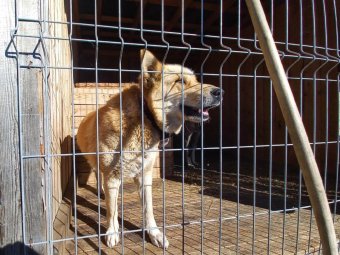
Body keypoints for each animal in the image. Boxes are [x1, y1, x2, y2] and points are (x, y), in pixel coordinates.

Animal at [76, 50, 223, 249]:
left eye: (196, 80)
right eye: (180, 81)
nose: (220, 92)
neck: (145, 117)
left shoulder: (144, 176)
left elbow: (148, 209)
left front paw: (154, 233)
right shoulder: (112, 177)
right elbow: (112, 211)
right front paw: (112, 232)